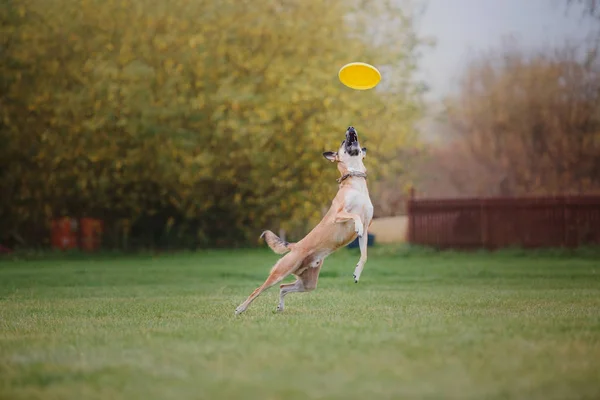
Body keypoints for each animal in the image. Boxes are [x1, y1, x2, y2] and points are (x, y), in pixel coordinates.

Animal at [236, 126, 372, 314]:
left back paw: (280, 307)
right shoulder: (337, 214)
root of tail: (295, 246)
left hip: (308, 283)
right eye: (342, 142)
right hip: (281, 271)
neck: (355, 181)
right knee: (259, 289)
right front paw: (356, 225)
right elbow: (355, 215)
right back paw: (240, 308)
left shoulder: (366, 229)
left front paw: (357, 273)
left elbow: (364, 255)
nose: (350, 128)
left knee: (283, 287)